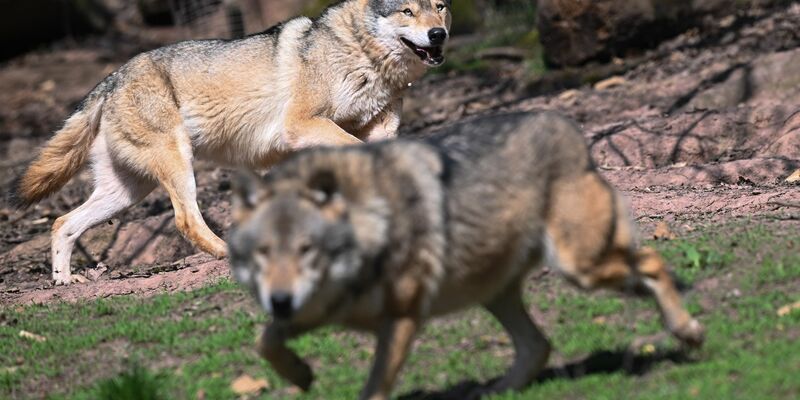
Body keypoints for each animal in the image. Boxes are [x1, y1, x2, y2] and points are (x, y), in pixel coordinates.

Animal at [10, 0, 452, 285]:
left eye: (440, 5)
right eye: (407, 10)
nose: (439, 34)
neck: (362, 56)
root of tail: (111, 78)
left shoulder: (373, 130)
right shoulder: (301, 126)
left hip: (125, 193)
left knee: (63, 223)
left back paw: (64, 283)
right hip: (178, 168)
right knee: (185, 220)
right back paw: (229, 255)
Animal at [227, 112, 706, 400]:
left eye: (307, 249)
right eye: (263, 253)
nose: (281, 300)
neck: (370, 225)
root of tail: (562, 124)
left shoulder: (401, 319)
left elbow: (374, 389)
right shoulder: (315, 311)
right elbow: (264, 340)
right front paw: (300, 375)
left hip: (580, 268)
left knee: (652, 263)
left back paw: (687, 331)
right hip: (496, 291)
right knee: (539, 346)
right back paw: (496, 390)